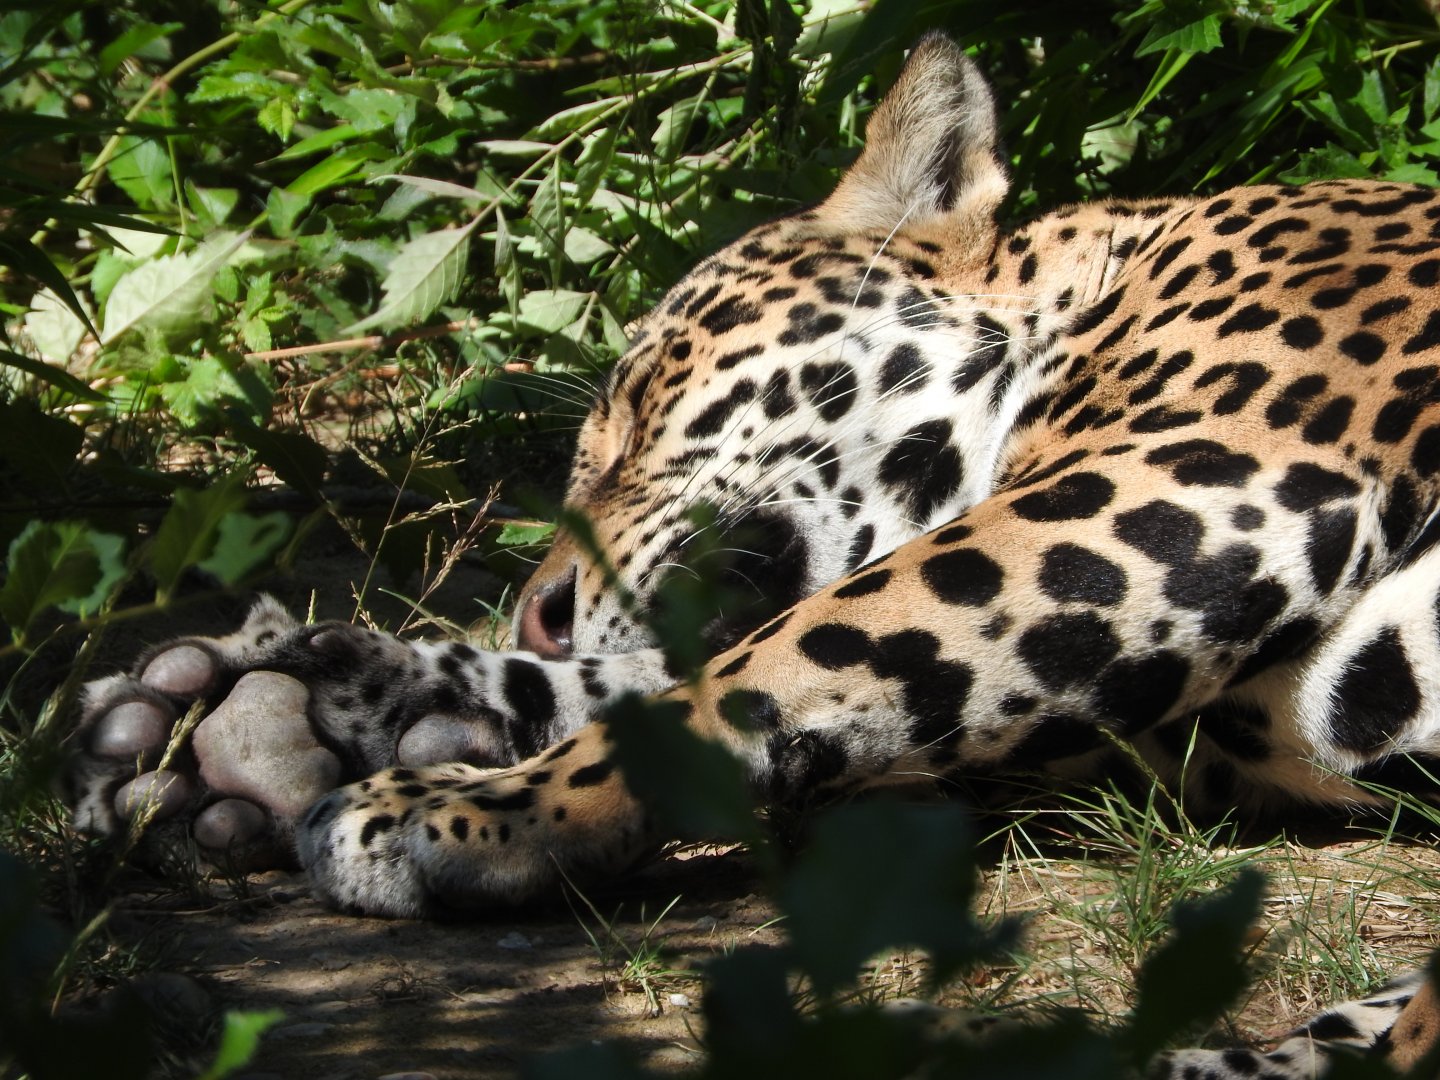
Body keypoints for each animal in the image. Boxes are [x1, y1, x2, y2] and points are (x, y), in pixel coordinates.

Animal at [67, 33, 1440, 1077]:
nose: (537, 611)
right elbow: (716, 683)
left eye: (633, 404)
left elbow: (775, 660)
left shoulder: (1201, 476)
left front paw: (453, 810)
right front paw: (291, 704)